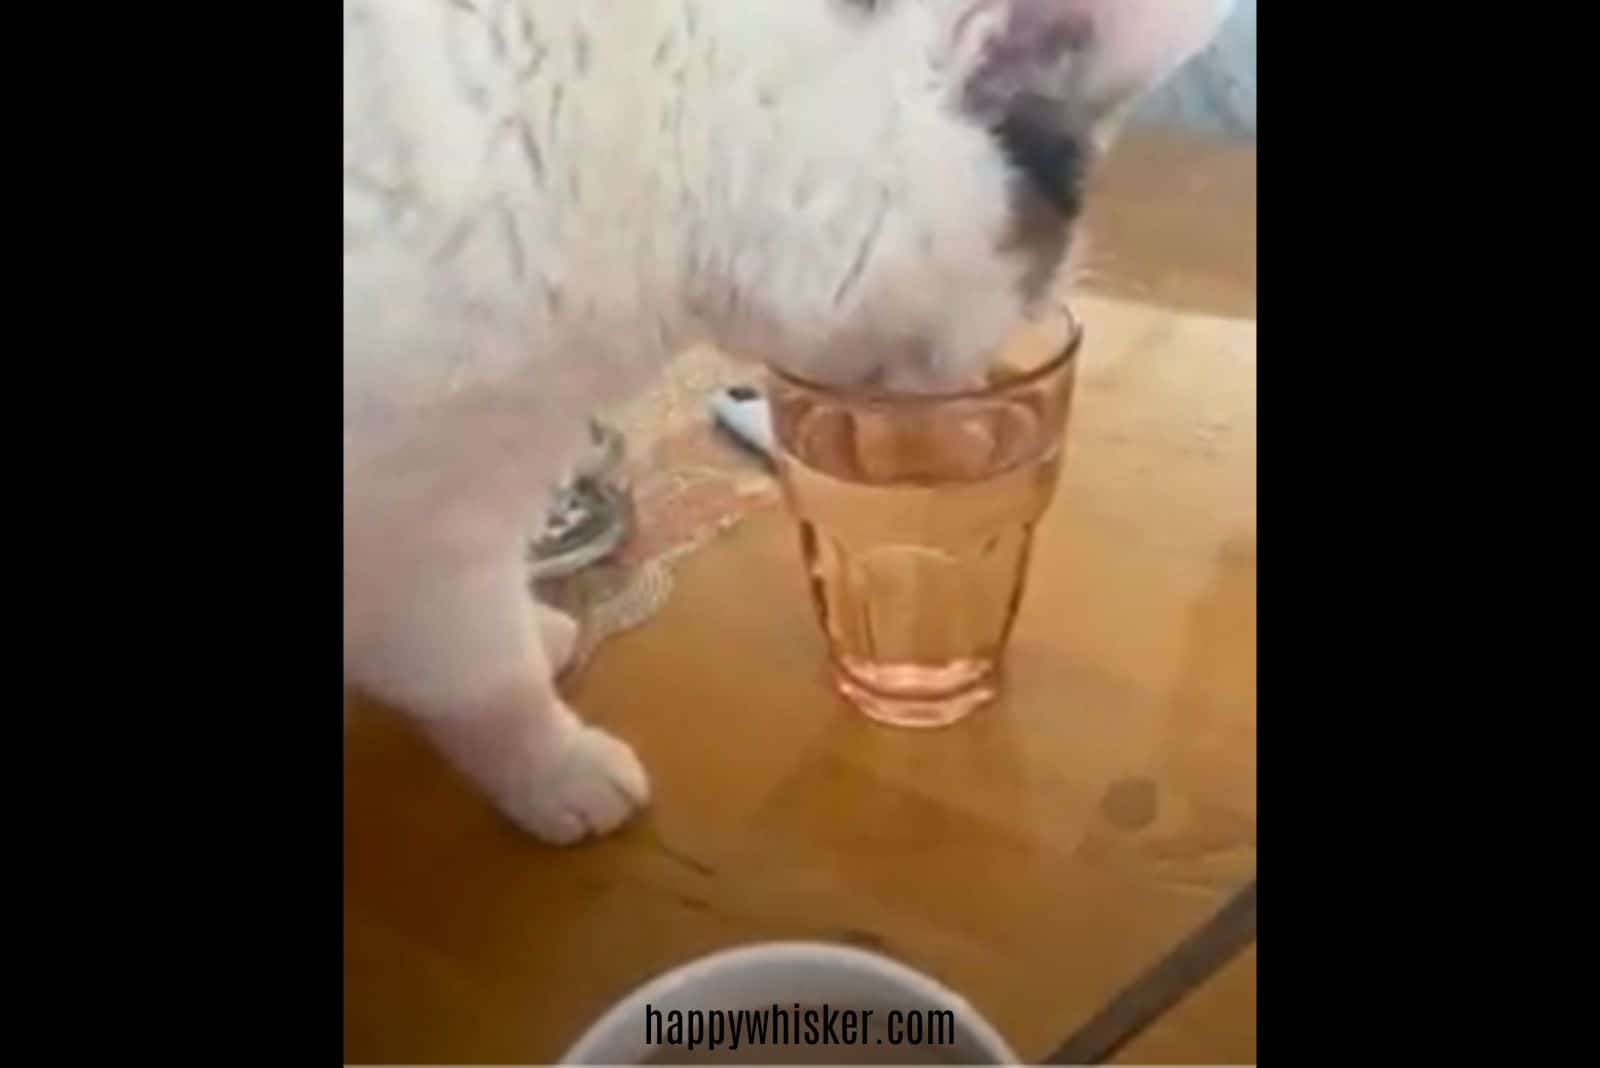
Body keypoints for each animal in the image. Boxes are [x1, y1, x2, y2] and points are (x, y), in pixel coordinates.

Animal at [344, 0, 1228, 844]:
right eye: (1025, 304)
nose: (968, 402)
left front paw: (537, 631)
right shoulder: (415, 513)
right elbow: (485, 674)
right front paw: (554, 767)